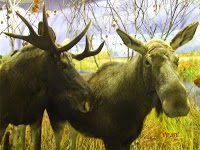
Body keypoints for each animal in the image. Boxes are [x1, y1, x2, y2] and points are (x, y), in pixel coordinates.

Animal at [66, 21, 198, 150]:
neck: (135, 110)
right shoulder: (110, 139)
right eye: (147, 62)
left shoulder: (128, 139)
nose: (178, 105)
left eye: (177, 59)